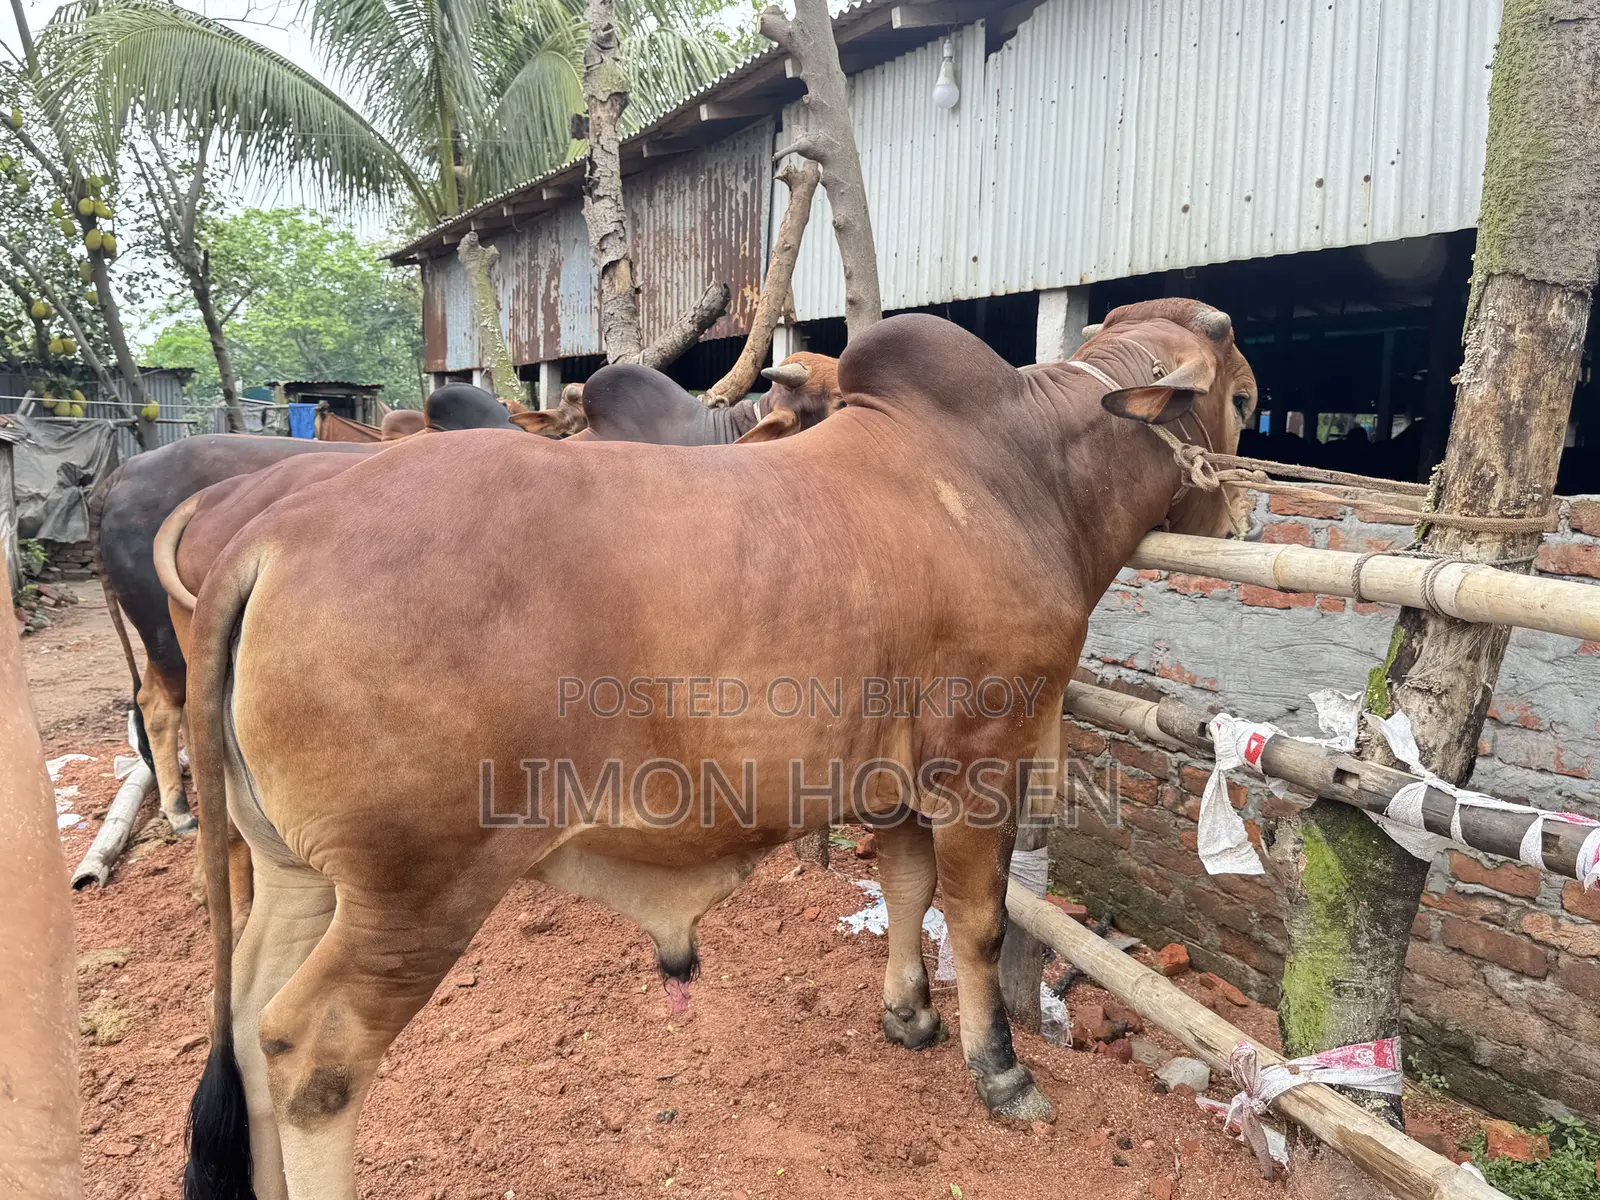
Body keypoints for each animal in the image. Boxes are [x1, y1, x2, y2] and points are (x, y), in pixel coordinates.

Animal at [179, 301, 1255, 1200]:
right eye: (1244, 398)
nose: (1243, 516)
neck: (1020, 471)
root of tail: (274, 538)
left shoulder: (898, 781)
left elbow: (906, 889)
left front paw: (907, 1016)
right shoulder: (982, 766)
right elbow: (978, 923)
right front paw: (999, 1072)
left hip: (296, 872)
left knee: (246, 1015)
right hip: (417, 889)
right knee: (309, 1055)